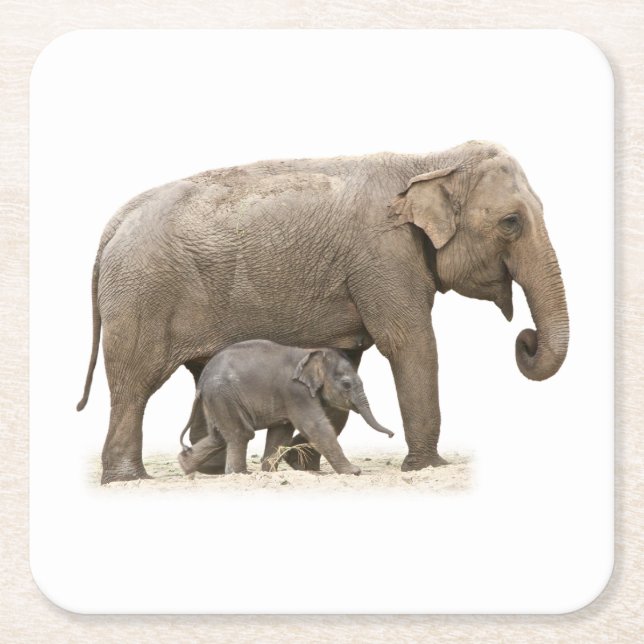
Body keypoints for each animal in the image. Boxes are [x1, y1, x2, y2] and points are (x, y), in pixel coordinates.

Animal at [176, 339, 393, 475]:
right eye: (347, 385)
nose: (392, 435)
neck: (311, 352)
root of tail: (201, 382)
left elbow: (281, 432)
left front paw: (269, 473)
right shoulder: (295, 392)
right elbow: (315, 426)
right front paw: (354, 472)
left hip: (217, 399)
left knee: (219, 436)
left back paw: (185, 466)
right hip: (223, 395)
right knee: (241, 434)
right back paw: (239, 474)